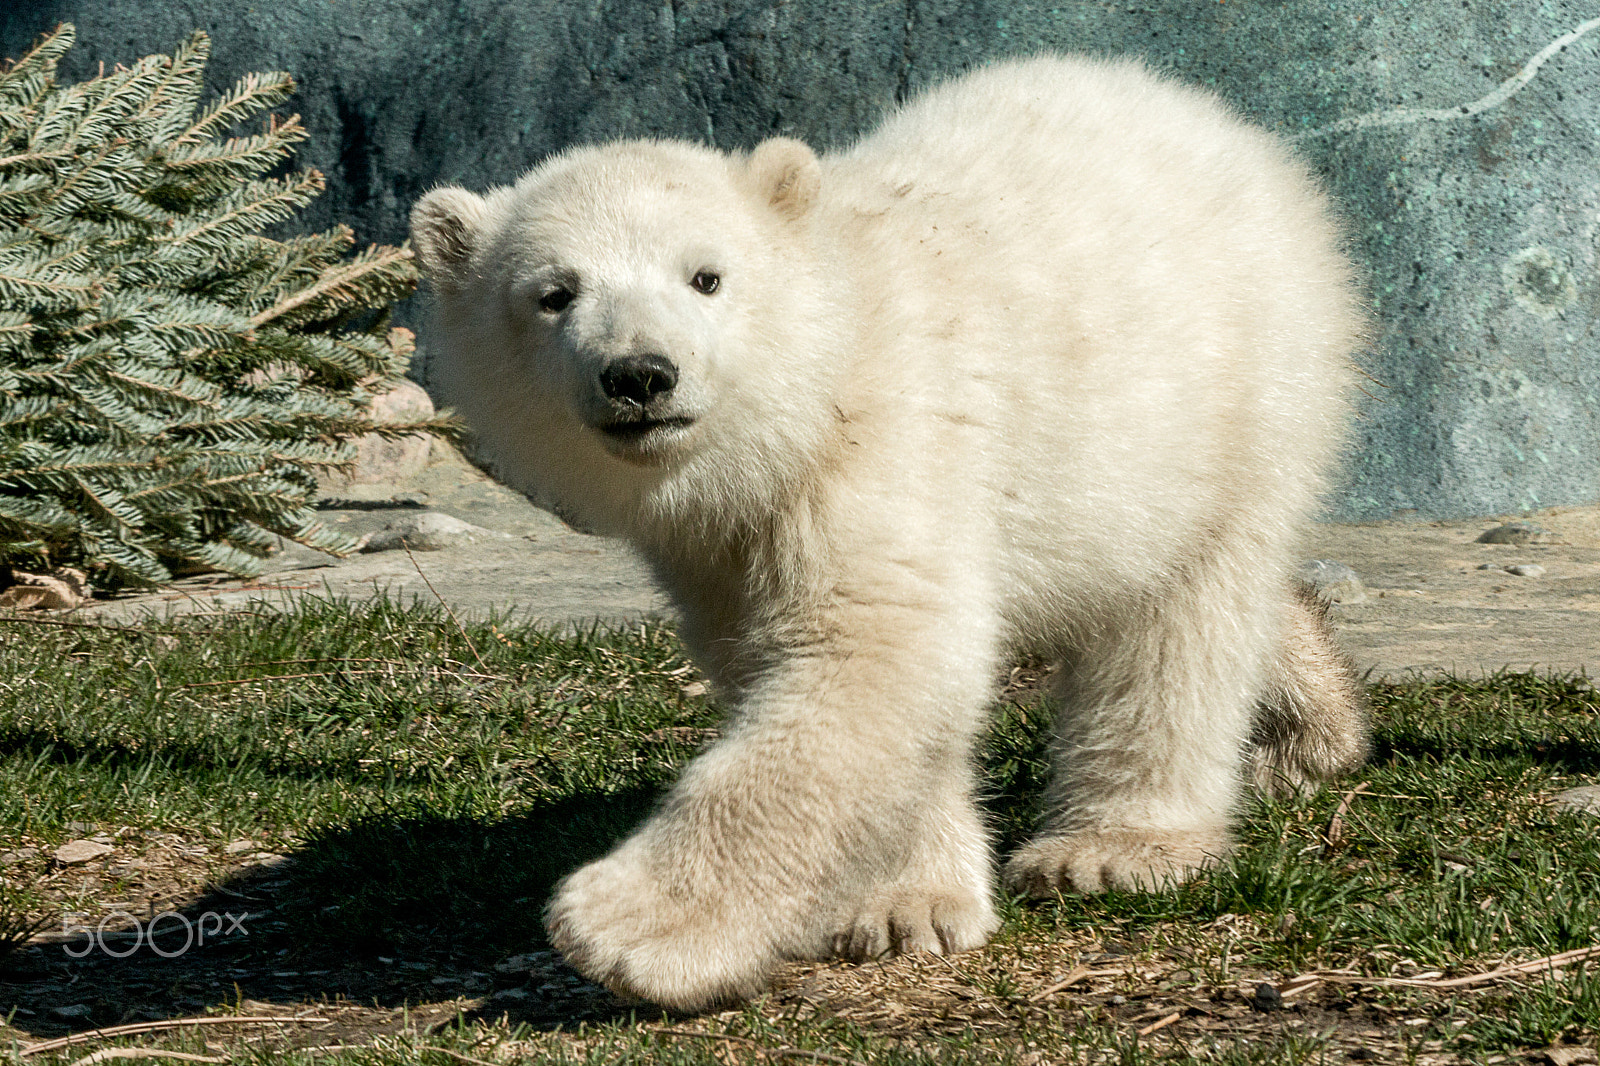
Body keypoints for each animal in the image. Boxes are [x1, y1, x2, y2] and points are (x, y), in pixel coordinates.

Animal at [409, 54, 1370, 1012]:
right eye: (553, 294)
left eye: (706, 277)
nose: (640, 375)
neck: (821, 360)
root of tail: (1209, 118)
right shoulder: (722, 542)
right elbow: (835, 686)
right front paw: (903, 905)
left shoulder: (887, 435)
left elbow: (872, 651)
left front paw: (626, 927)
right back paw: (1308, 728)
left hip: (1239, 382)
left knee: (1181, 615)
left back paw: (1113, 847)